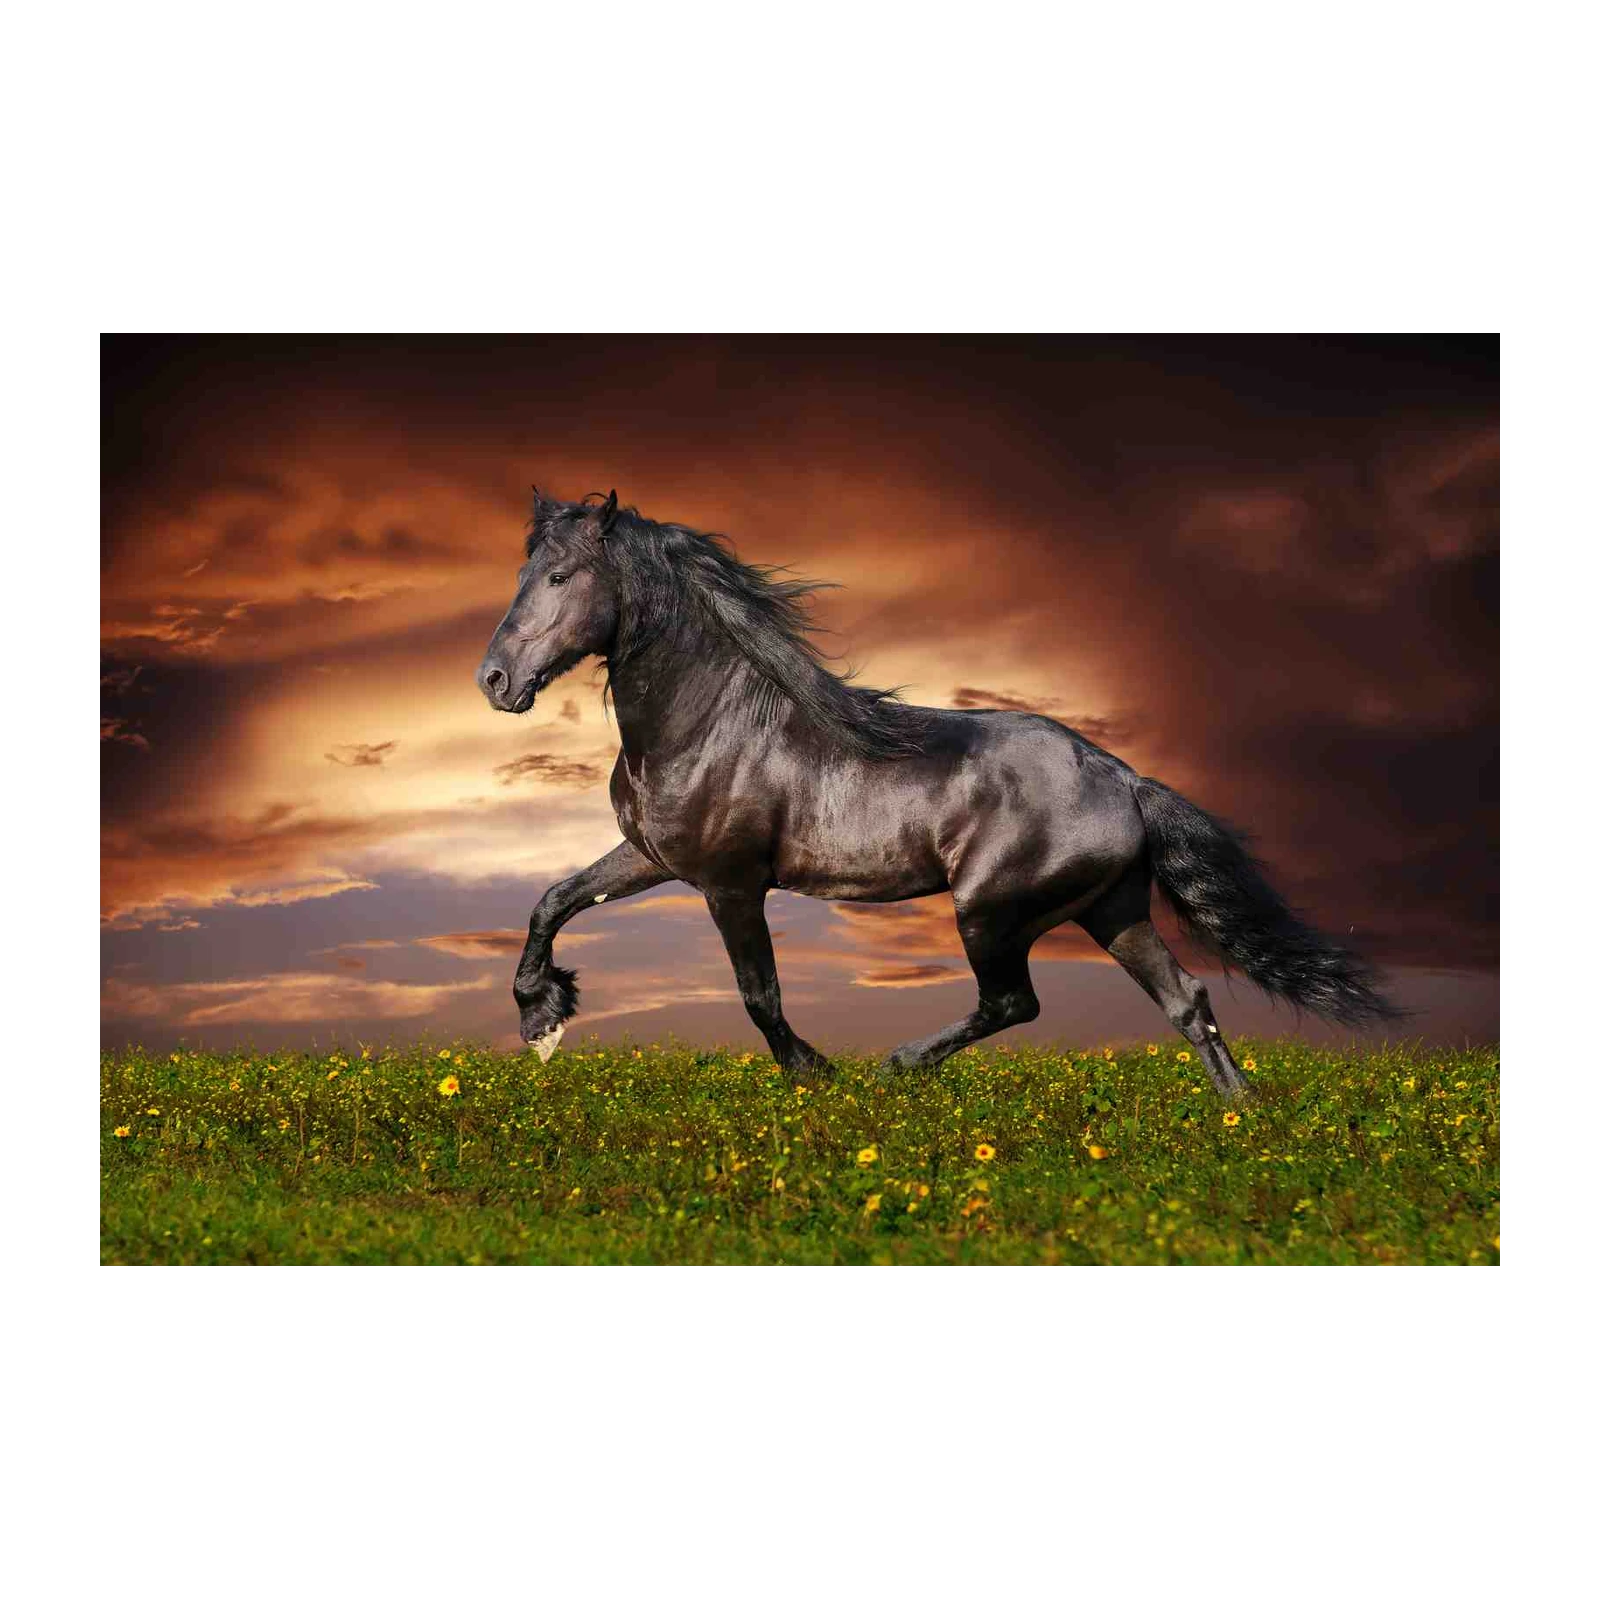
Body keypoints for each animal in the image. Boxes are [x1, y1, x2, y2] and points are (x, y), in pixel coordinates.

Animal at [476, 489, 1398, 1096]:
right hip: (1113, 910)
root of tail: (1126, 780)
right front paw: (541, 1018)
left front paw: (817, 1074)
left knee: (1015, 1001)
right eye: (523, 570)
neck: (709, 721)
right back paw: (1240, 1118)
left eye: (560, 576)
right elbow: (552, 900)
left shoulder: (730, 883)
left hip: (990, 910)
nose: (495, 681)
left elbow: (759, 995)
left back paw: (901, 1064)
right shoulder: (653, 856)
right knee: (1187, 1001)